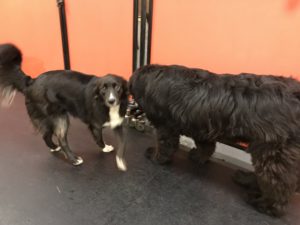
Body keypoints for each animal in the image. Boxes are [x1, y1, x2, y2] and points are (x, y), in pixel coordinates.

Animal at [130, 63, 300, 216]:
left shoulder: (166, 126)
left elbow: (165, 145)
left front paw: (155, 156)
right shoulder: (201, 125)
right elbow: (206, 147)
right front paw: (198, 157)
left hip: (271, 151)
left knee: (278, 184)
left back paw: (265, 204)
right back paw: (246, 179)